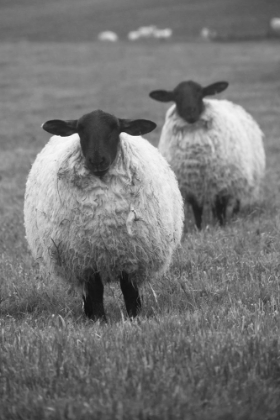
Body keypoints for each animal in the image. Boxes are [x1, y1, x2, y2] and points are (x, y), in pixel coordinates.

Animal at [24, 109, 185, 322]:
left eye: (115, 128)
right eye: (80, 130)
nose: (97, 160)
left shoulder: (130, 256)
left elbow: (129, 291)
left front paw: (134, 318)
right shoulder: (88, 259)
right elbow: (95, 292)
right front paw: (100, 321)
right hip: (77, 262)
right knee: (86, 292)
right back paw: (90, 316)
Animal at [149, 80, 264, 228]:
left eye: (200, 93)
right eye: (176, 96)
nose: (190, 113)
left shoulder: (221, 184)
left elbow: (221, 208)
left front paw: (221, 225)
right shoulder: (192, 185)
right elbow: (197, 210)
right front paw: (199, 228)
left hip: (239, 178)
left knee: (235, 200)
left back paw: (234, 216)